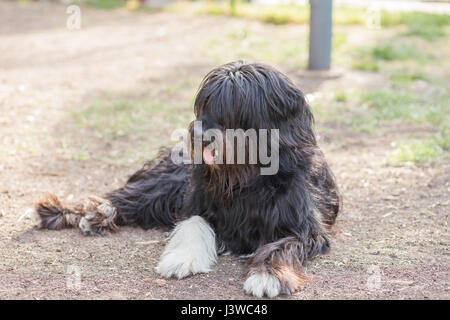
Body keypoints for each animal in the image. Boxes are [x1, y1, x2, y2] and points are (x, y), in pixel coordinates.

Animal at [32, 60, 342, 298]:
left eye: (233, 108)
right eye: (205, 103)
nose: (198, 133)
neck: (245, 178)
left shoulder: (303, 227)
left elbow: (281, 246)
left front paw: (269, 275)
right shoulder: (197, 201)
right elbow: (193, 224)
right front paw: (181, 259)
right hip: (167, 185)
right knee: (126, 197)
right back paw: (82, 211)